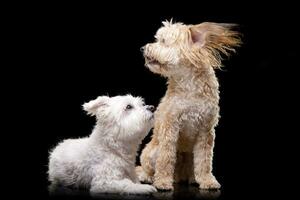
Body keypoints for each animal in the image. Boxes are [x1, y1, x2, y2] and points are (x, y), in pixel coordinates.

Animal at [137, 20, 241, 191]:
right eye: (157, 39)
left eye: (163, 41)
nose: (142, 48)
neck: (188, 83)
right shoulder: (170, 126)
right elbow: (166, 158)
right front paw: (163, 182)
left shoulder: (206, 130)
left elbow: (204, 161)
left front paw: (207, 181)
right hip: (151, 152)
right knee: (148, 167)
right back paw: (148, 177)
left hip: (189, 156)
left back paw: (192, 179)